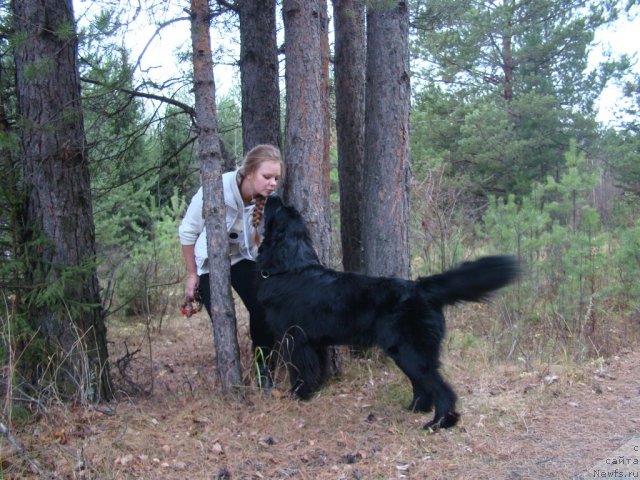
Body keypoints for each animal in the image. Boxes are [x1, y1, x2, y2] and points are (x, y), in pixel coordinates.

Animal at [256, 195, 520, 432]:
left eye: (278, 208)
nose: (273, 193)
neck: (290, 267)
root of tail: (421, 287)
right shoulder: (315, 342)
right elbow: (315, 369)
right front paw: (314, 389)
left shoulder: (295, 339)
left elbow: (300, 371)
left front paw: (298, 395)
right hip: (405, 352)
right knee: (422, 386)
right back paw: (416, 408)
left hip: (410, 351)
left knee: (441, 389)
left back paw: (439, 423)